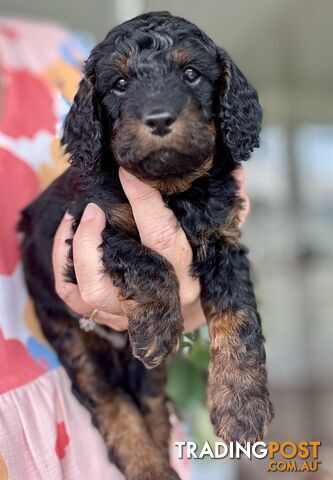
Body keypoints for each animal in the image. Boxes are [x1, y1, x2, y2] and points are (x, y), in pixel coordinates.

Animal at [18, 11, 272, 480]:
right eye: (119, 84)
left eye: (191, 74)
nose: (158, 119)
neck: (173, 190)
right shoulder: (87, 228)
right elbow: (146, 258)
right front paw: (157, 325)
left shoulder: (225, 244)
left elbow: (240, 317)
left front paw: (242, 406)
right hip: (70, 336)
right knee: (111, 403)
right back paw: (147, 464)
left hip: (143, 374)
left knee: (151, 402)